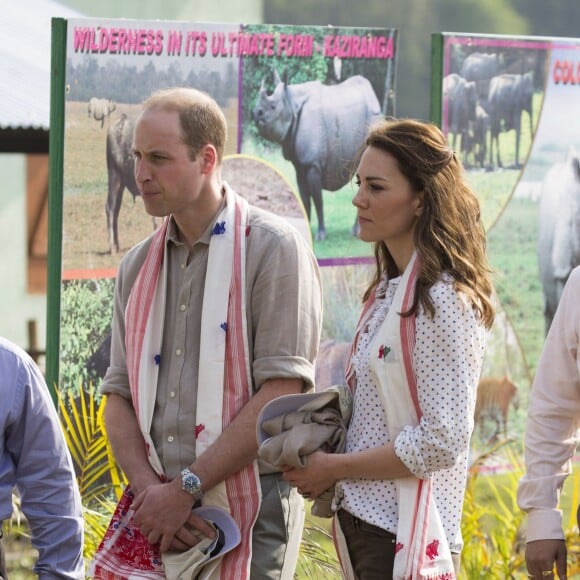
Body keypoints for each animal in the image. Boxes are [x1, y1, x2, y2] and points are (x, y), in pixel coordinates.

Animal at [253, 68, 380, 240]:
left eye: (272, 107)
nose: (255, 113)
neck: (291, 102)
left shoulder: (312, 164)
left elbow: (318, 200)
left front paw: (320, 235)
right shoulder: (300, 166)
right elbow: (305, 199)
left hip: (373, 118)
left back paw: (357, 233)